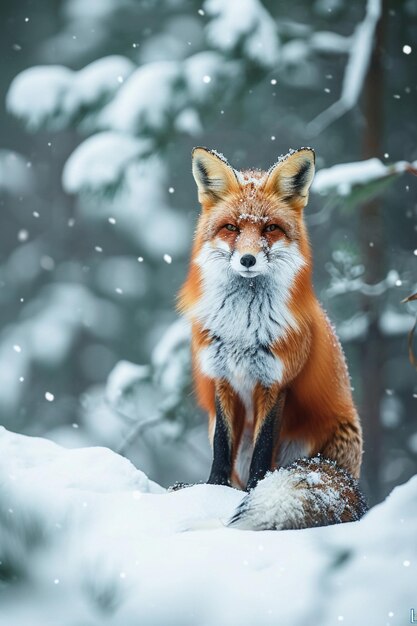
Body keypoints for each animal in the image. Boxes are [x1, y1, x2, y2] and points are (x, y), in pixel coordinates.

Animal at [177, 146, 366, 528]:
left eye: (270, 228)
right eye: (232, 228)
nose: (248, 260)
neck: (242, 329)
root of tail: (349, 476)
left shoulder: (275, 383)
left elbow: (263, 452)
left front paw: (255, 490)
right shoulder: (223, 379)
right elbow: (221, 447)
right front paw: (211, 490)